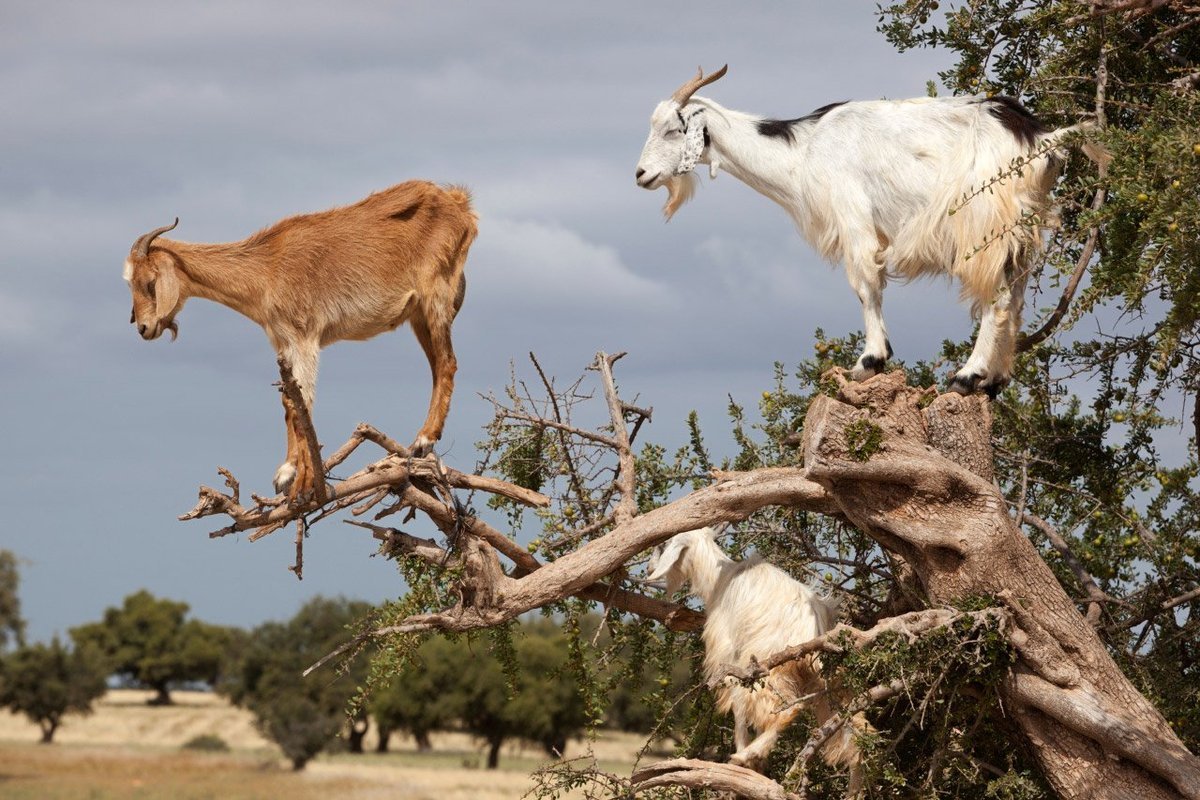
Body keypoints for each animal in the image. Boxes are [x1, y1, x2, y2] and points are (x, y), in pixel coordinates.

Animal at [123, 184, 477, 503]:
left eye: (149, 282)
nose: (143, 327)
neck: (266, 269)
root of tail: (460, 203)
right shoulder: (282, 342)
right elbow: (288, 404)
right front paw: (287, 473)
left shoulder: (304, 338)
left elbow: (301, 405)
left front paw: (303, 485)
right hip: (419, 314)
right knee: (438, 367)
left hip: (435, 297)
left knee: (448, 363)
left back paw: (423, 440)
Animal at [638, 66, 1104, 398]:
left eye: (674, 129)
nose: (641, 174)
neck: (804, 150)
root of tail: (1042, 138)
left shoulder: (854, 218)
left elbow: (865, 285)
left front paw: (869, 361)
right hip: (1022, 230)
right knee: (1018, 296)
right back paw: (995, 381)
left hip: (985, 226)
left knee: (999, 297)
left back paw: (968, 377)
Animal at [648, 527, 873, 791]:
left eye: (664, 545)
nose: (649, 569)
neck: (720, 579)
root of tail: (813, 627)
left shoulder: (731, 653)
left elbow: (738, 703)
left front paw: (743, 753)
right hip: (826, 679)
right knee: (856, 732)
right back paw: (854, 791)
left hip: (770, 665)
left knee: (789, 708)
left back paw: (748, 754)